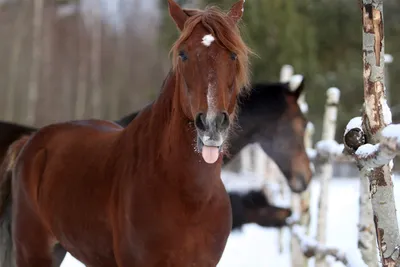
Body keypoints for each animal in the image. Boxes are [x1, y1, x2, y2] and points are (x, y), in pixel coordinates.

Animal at [0, 1, 252, 266]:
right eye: (183, 54)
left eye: (233, 55)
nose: (212, 123)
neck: (191, 199)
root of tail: (30, 141)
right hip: (33, 251)